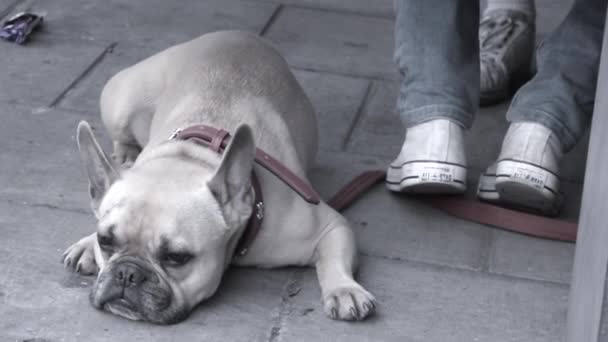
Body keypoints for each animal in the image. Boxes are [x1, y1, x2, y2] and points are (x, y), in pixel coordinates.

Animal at [63, 30, 376, 324]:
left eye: (176, 257)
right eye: (105, 240)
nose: (127, 273)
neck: (194, 155)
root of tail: (238, 34)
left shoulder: (330, 227)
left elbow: (333, 260)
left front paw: (344, 289)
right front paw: (87, 244)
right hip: (121, 103)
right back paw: (125, 153)